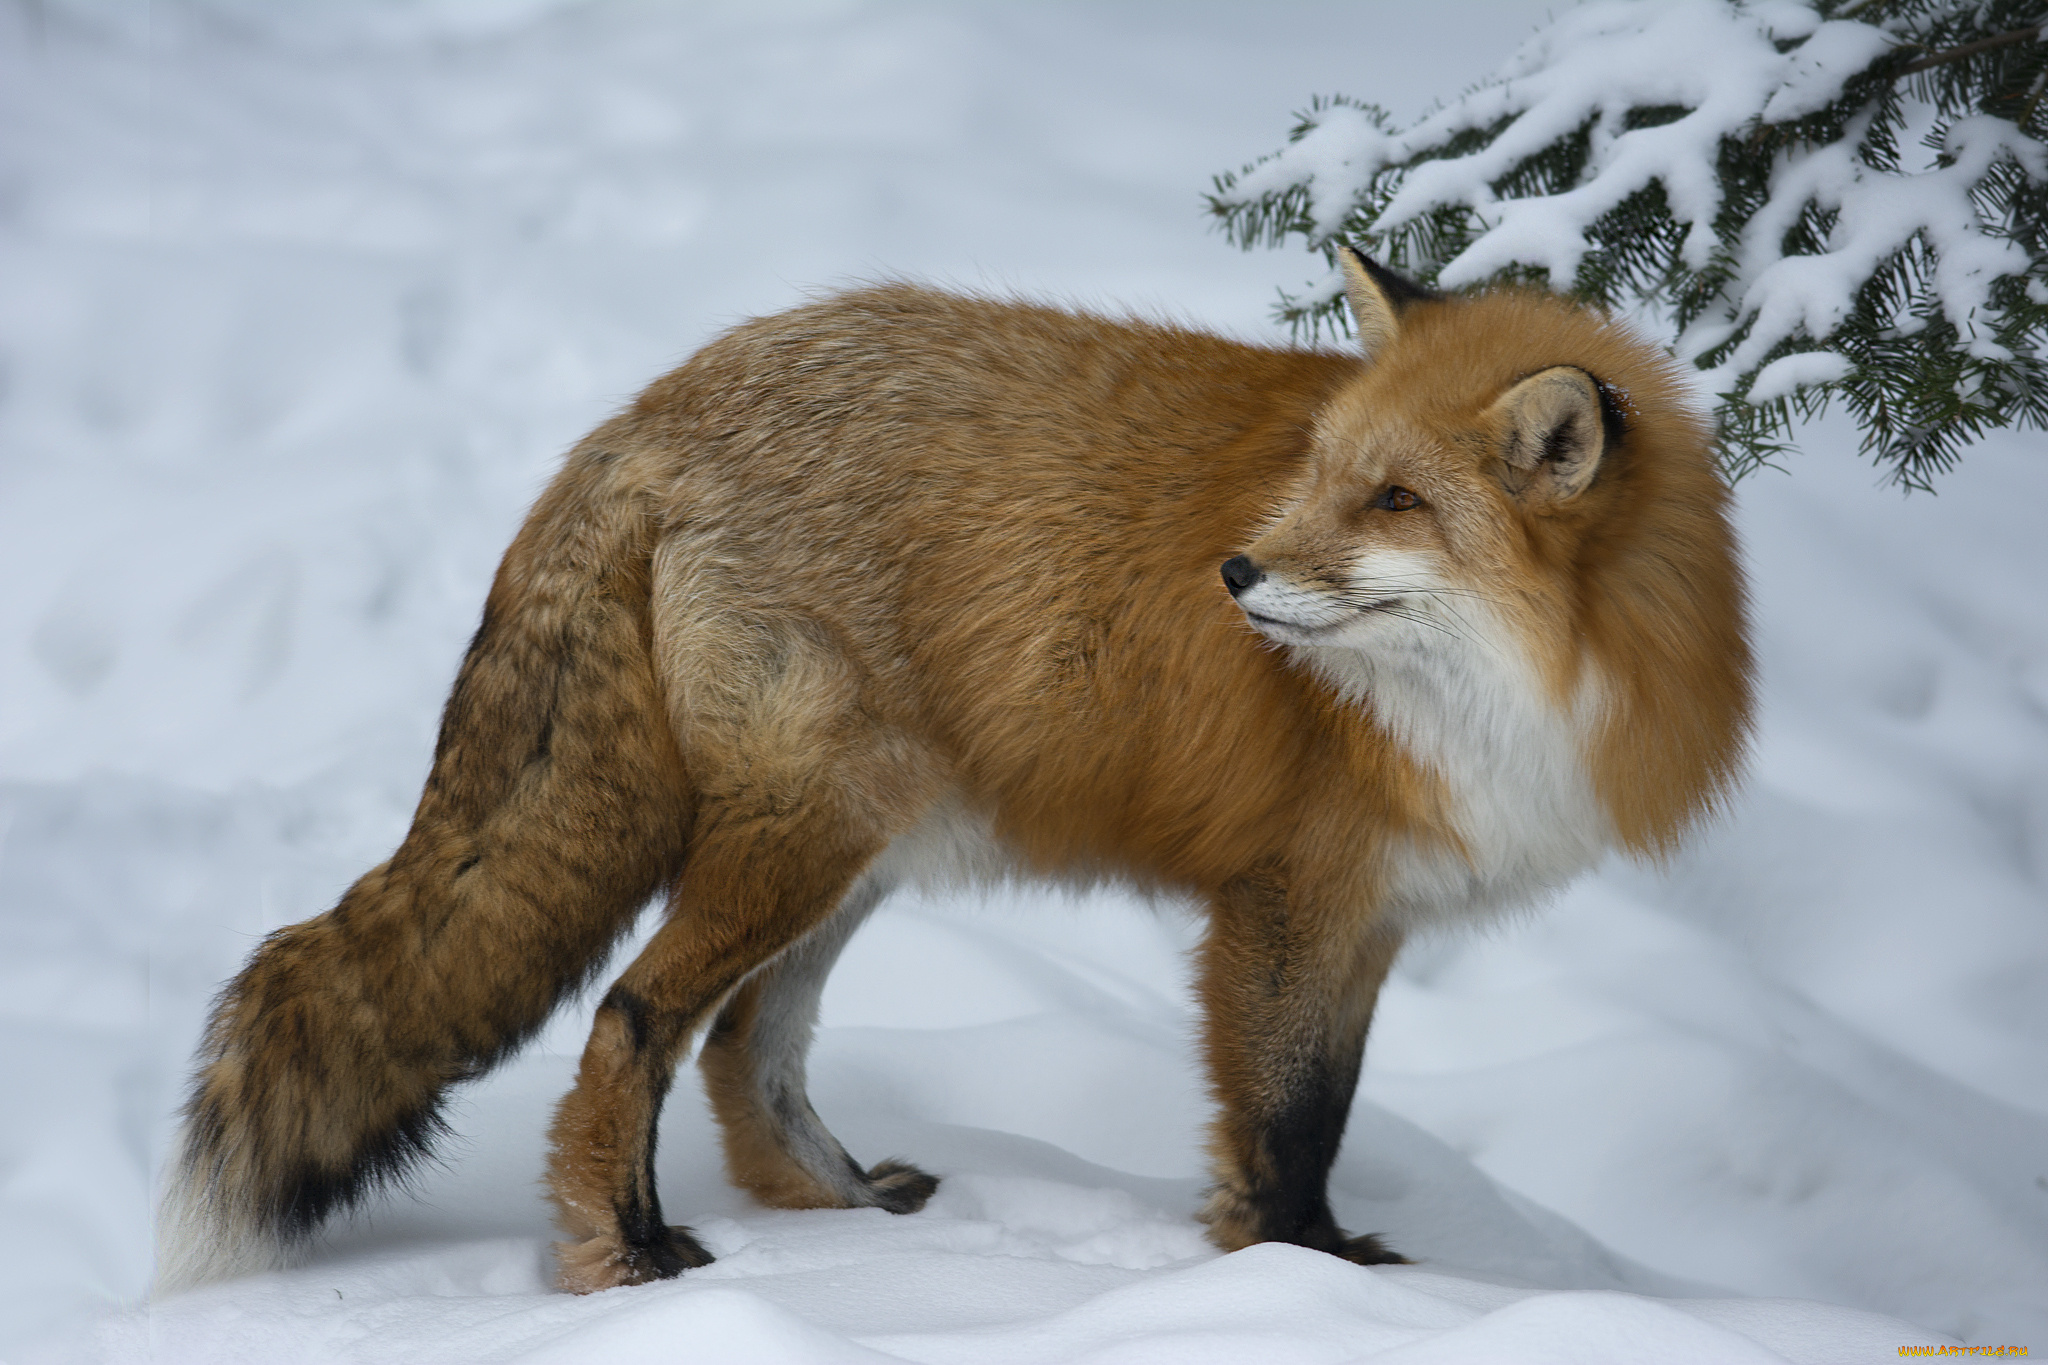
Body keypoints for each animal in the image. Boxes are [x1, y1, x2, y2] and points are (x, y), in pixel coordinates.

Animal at [163, 250, 1761, 1301]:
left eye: (1394, 500)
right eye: (1321, 476)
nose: (1235, 573)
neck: (1527, 686)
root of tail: (645, 411)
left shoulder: (1370, 917)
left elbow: (1327, 1107)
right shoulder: (1286, 901)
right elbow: (1287, 1122)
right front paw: (1300, 1285)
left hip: (863, 848)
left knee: (746, 1047)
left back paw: (843, 1212)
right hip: (814, 829)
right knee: (636, 1019)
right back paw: (627, 1250)